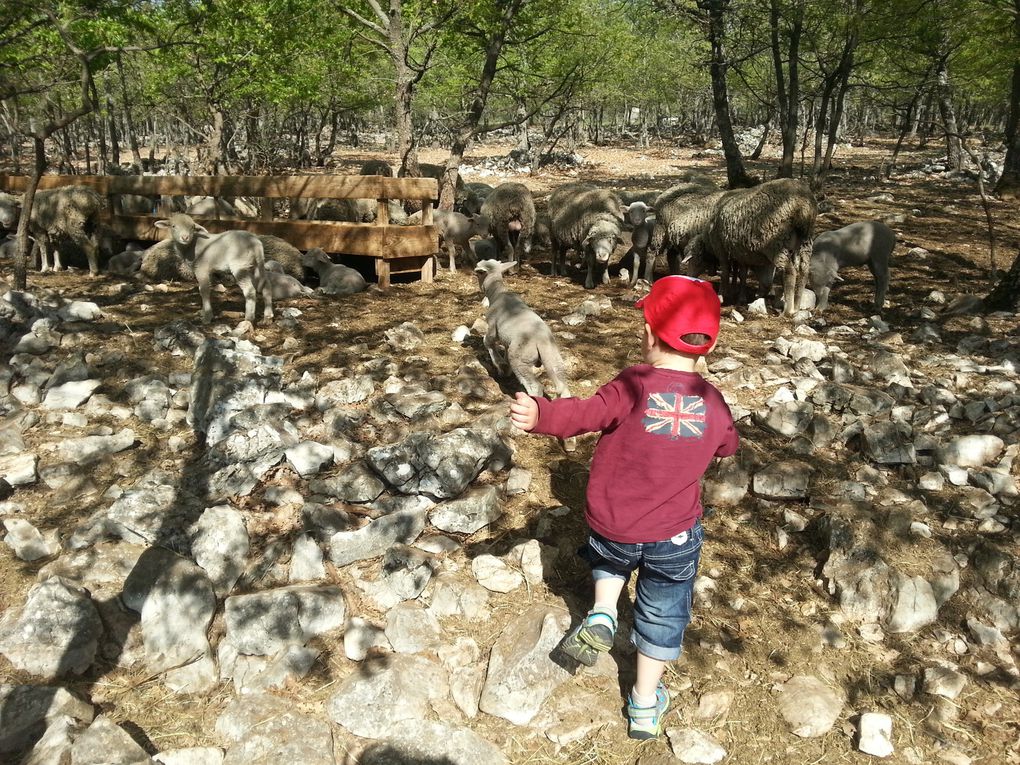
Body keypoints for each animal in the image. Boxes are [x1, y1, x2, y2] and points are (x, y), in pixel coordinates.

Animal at [473, 261, 571, 397]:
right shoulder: (507, 340)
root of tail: (541, 341)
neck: (497, 293)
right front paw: (505, 370)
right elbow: (505, 352)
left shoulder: (492, 326)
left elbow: (487, 342)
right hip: (553, 356)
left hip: (520, 358)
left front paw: (499, 364)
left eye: (479, 271)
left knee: (534, 386)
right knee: (562, 383)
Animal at [705, 179, 816, 318]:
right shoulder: (743, 253)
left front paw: (721, 296)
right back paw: (796, 306)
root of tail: (802, 206)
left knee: (789, 271)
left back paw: (788, 310)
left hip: (777, 244)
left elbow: (726, 272)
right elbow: (745, 274)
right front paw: (744, 296)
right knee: (804, 270)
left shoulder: (721, 248)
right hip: (804, 241)